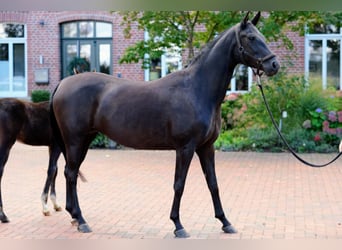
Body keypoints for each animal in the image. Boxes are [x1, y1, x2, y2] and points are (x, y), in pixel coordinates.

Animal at [50, 12, 280, 238]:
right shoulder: (185, 148)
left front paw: (225, 222)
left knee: (70, 172)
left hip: (84, 140)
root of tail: (63, 83)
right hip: (75, 141)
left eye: (261, 35)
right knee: (71, 174)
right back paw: (81, 220)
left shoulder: (207, 147)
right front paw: (178, 225)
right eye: (251, 37)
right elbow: (179, 184)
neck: (197, 89)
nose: (274, 65)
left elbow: (213, 184)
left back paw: (75, 216)